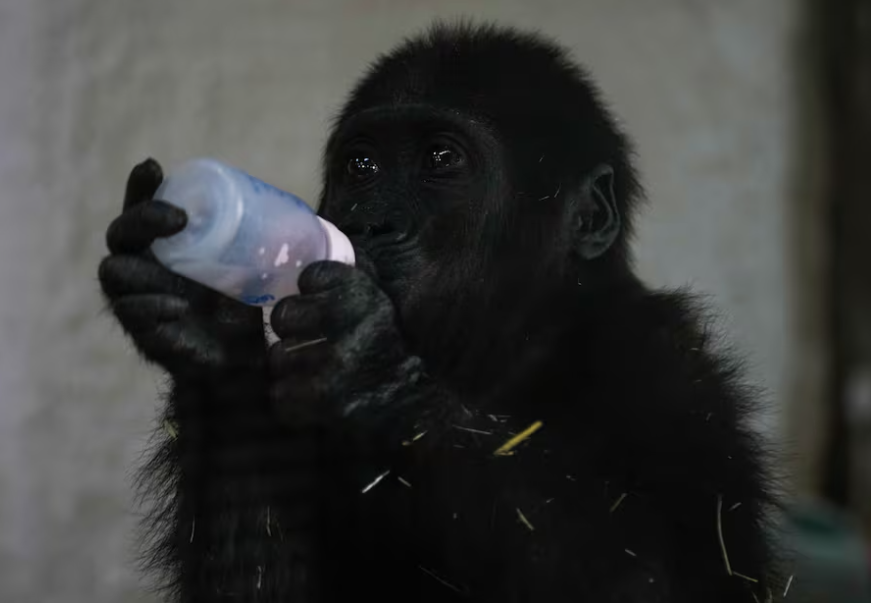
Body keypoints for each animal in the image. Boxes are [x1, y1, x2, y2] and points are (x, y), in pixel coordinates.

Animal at [100, 21, 776, 600]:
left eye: (441, 160)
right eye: (362, 165)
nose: (371, 223)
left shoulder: (669, 371)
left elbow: (663, 578)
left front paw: (371, 376)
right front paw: (207, 326)